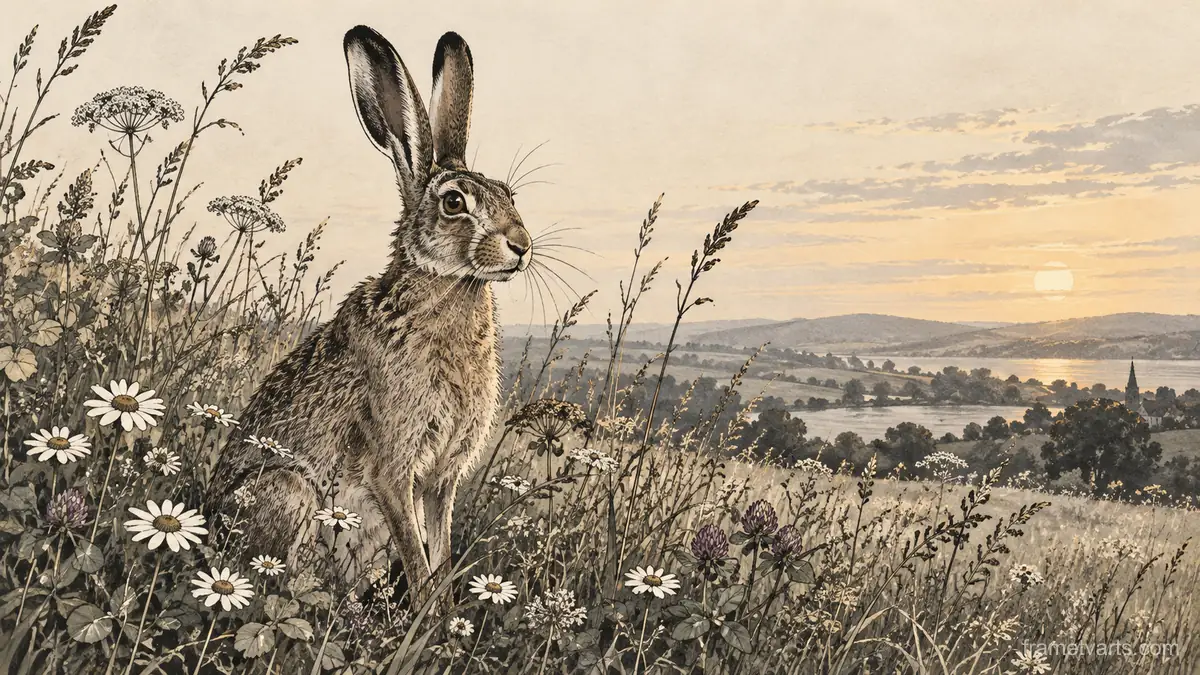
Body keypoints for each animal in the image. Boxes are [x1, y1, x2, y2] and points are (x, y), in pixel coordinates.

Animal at [208, 25, 531, 600]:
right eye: (454, 203)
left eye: (508, 193)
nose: (521, 245)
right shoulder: (392, 465)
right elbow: (417, 555)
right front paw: (428, 613)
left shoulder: (440, 479)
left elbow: (439, 550)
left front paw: (443, 612)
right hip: (286, 492)